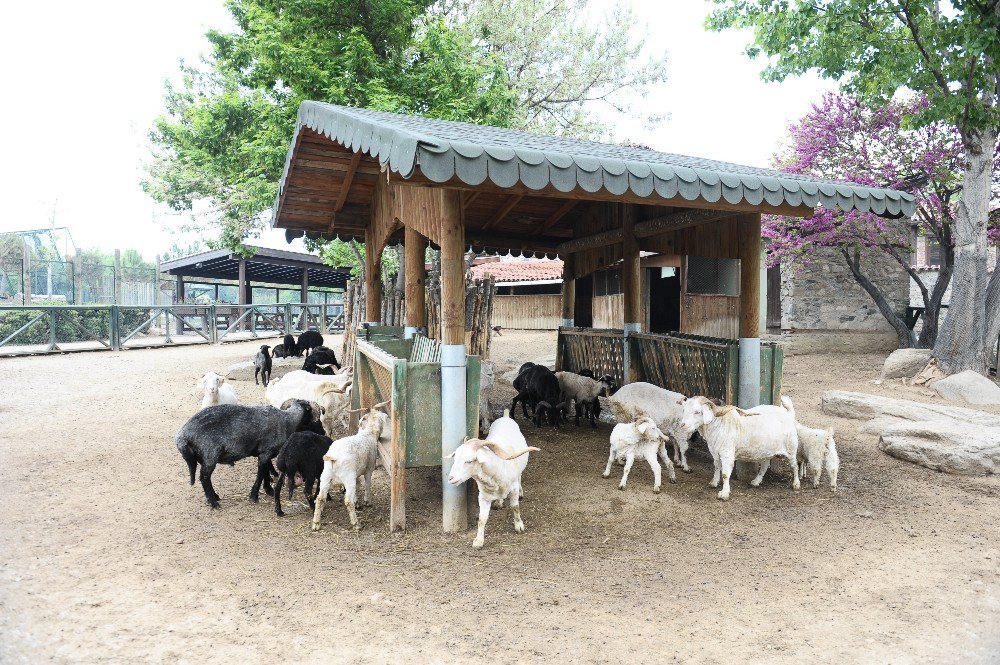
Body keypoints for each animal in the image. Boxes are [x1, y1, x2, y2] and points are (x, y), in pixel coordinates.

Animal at [174, 400, 322, 508]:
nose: (322, 432)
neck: (287, 421)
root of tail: (182, 436)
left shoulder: (263, 453)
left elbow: (265, 471)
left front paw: (268, 490)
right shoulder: (266, 452)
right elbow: (261, 473)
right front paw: (254, 496)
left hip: (202, 456)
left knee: (205, 478)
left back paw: (214, 496)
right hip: (210, 453)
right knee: (204, 477)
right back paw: (214, 502)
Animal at [312, 402, 390, 532]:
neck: (368, 434)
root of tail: (333, 458)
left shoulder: (356, 474)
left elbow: (358, 486)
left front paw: (357, 501)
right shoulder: (369, 469)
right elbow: (367, 484)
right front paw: (367, 501)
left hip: (326, 476)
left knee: (320, 498)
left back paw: (316, 523)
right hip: (348, 477)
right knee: (347, 501)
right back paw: (356, 523)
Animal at [446, 412, 540, 548]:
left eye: (469, 461)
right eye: (455, 458)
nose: (450, 478)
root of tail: (505, 416)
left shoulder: (513, 489)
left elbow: (515, 507)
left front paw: (519, 526)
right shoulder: (483, 496)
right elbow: (482, 519)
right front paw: (478, 541)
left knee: (520, 476)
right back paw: (499, 502)